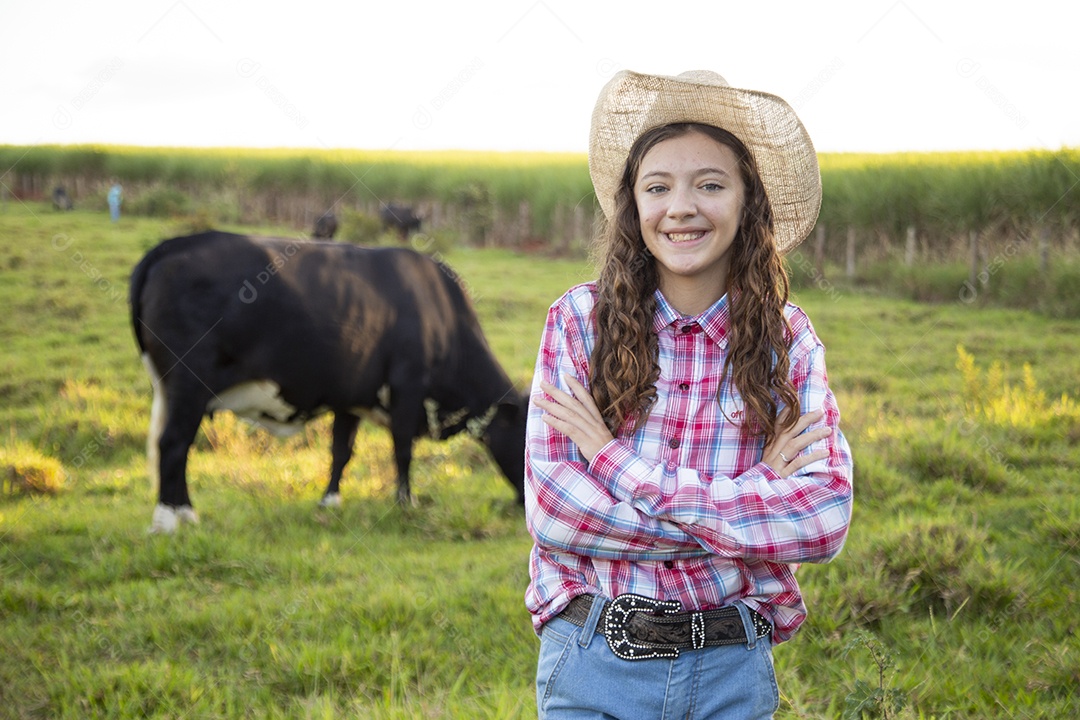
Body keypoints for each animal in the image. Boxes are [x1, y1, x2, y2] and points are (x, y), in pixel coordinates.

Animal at [130, 232, 527, 535]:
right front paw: (405, 502)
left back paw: (184, 512)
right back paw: (168, 519)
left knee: (178, 447)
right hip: (188, 387)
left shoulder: (352, 395)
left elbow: (341, 450)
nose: (523, 506)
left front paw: (330, 502)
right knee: (173, 444)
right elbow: (402, 449)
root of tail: (175, 244)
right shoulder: (408, 386)